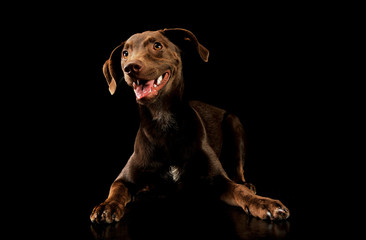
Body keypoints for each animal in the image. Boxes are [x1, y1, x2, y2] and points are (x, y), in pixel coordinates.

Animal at [91, 28, 288, 223]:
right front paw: (106, 206)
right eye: (125, 53)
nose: (130, 67)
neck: (164, 122)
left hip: (234, 123)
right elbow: (116, 190)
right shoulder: (124, 179)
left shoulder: (219, 180)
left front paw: (264, 203)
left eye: (157, 45)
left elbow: (240, 191)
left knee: (239, 171)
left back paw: (246, 183)